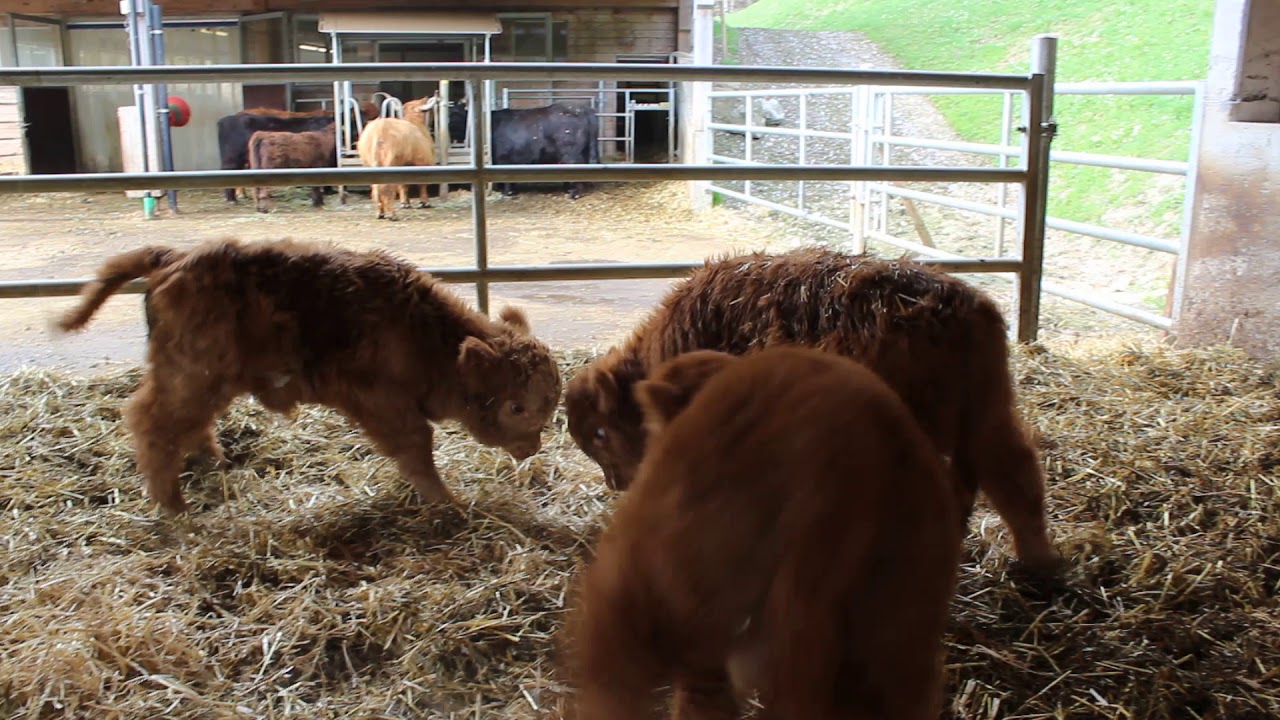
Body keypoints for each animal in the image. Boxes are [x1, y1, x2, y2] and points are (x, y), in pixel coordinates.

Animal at [53, 238, 563, 516]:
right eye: (516, 405)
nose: (532, 447)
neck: (423, 335)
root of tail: (172, 258)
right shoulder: (384, 405)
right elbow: (417, 449)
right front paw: (447, 502)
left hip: (205, 381)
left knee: (188, 423)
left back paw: (211, 465)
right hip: (188, 376)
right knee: (152, 423)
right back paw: (174, 506)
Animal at [448, 100, 600, 200]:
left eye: (454, 115)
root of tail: (583, 109)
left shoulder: (503, 158)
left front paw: (507, 193)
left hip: (570, 152)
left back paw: (573, 193)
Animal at [564, 245, 1063, 576]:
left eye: (602, 434)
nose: (617, 483)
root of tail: (960, 310)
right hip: (988, 413)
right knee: (1014, 476)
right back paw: (1038, 567)